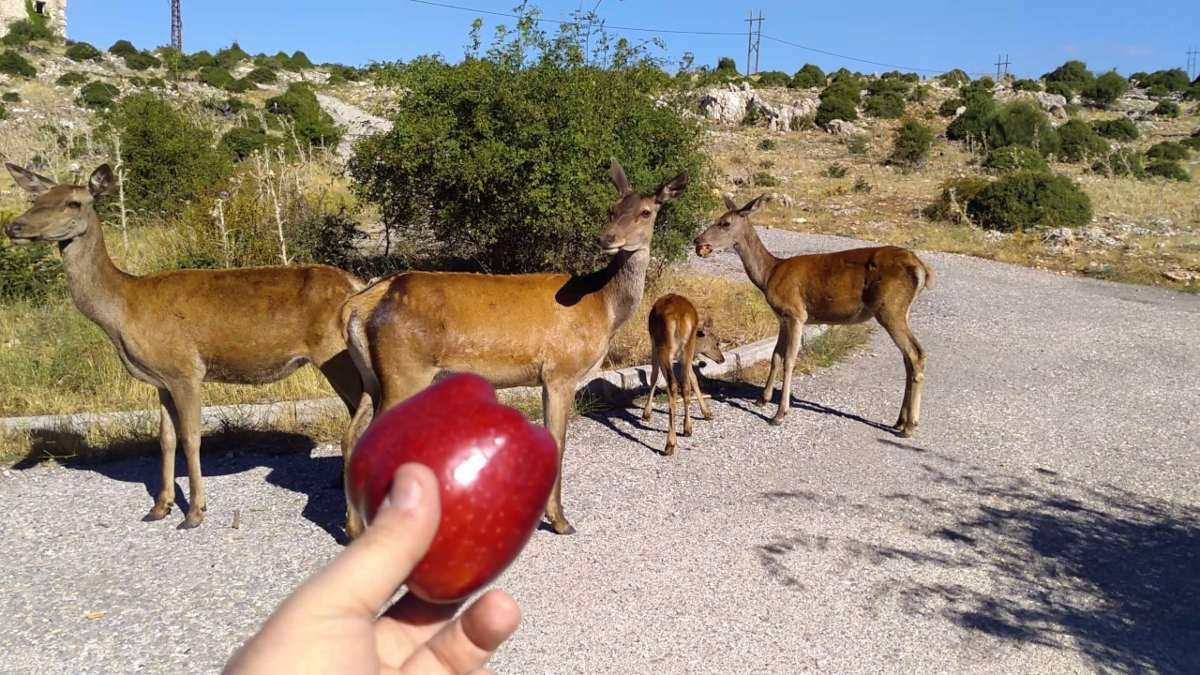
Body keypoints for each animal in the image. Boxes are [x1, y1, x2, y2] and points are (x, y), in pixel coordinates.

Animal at [3, 164, 364, 530]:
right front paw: (159, 507)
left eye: (73, 203)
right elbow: (166, 440)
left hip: (335, 357)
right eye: (36, 199)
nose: (13, 226)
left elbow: (191, 439)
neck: (123, 310)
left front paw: (194, 512)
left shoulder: (185, 370)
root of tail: (355, 284)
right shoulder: (161, 379)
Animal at [343, 159, 691, 533]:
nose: (606, 238)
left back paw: (353, 526)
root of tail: (359, 303)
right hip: (405, 370)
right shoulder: (561, 370)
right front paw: (560, 521)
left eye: (645, 212)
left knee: (351, 436)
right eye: (611, 209)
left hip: (372, 377)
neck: (602, 307)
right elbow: (558, 443)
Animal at [643, 293, 724, 454]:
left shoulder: (654, 342)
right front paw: (707, 412)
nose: (722, 359)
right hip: (686, 348)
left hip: (664, 346)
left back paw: (670, 443)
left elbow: (654, 375)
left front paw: (646, 413)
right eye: (716, 343)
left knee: (672, 384)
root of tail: (680, 319)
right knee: (685, 385)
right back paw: (687, 428)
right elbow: (693, 378)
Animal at [696, 194, 936, 437]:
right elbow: (776, 356)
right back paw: (899, 421)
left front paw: (780, 414)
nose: (698, 240)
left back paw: (910, 426)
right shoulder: (782, 317)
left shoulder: (796, 313)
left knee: (916, 354)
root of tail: (922, 269)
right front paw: (762, 400)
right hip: (901, 311)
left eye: (725, 223)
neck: (769, 274)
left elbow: (790, 360)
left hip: (890, 308)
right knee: (909, 357)